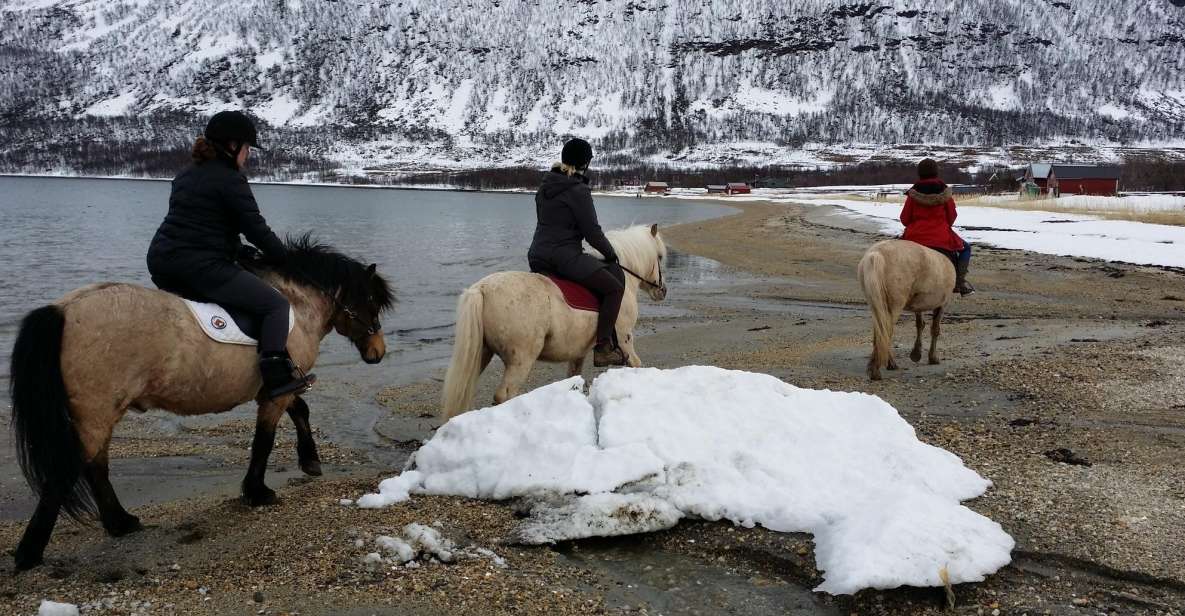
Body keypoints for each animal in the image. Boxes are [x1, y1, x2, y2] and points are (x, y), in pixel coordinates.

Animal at [8, 234, 398, 568]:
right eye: (370, 302)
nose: (378, 352)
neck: (295, 305)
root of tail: (63, 308)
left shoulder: (280, 385)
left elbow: (300, 411)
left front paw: (310, 461)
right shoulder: (278, 389)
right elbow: (265, 440)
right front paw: (258, 491)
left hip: (97, 414)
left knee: (95, 467)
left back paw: (120, 522)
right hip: (96, 412)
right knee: (65, 473)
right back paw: (29, 554)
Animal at [443, 223, 668, 416]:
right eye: (659, 256)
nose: (662, 291)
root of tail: (481, 288)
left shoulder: (578, 353)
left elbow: (574, 378)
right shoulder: (624, 339)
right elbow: (637, 365)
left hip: (482, 354)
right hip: (520, 360)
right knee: (504, 395)